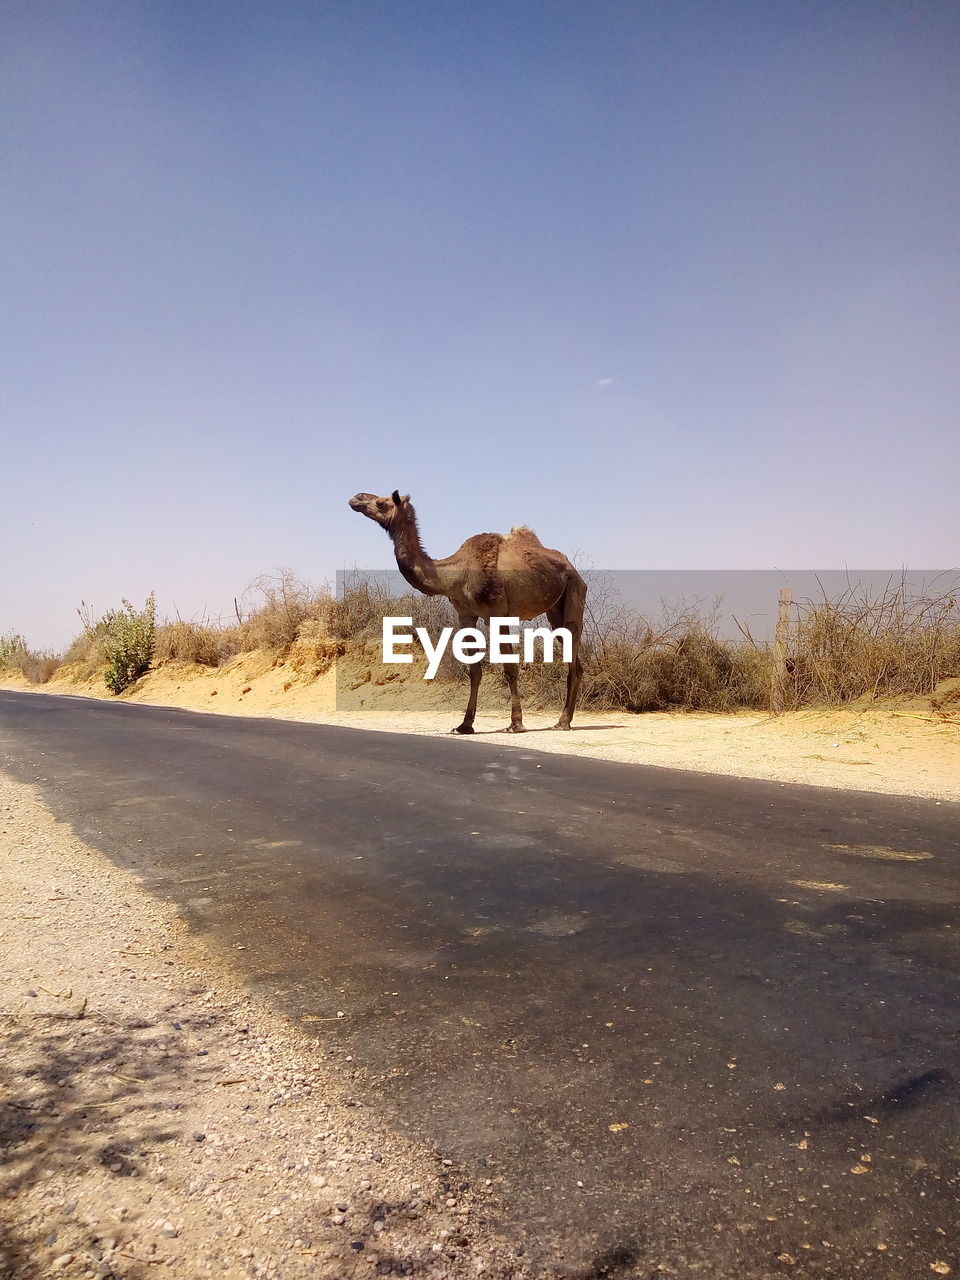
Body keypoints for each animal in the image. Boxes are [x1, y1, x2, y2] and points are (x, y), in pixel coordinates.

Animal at [345, 486, 586, 732]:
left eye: (381, 503)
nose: (356, 498)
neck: (456, 574)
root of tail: (571, 567)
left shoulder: (497, 614)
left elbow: (509, 669)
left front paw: (516, 723)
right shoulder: (465, 615)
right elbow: (474, 671)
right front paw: (464, 725)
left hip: (575, 590)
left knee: (573, 646)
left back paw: (563, 722)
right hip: (554, 610)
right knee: (574, 658)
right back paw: (563, 720)